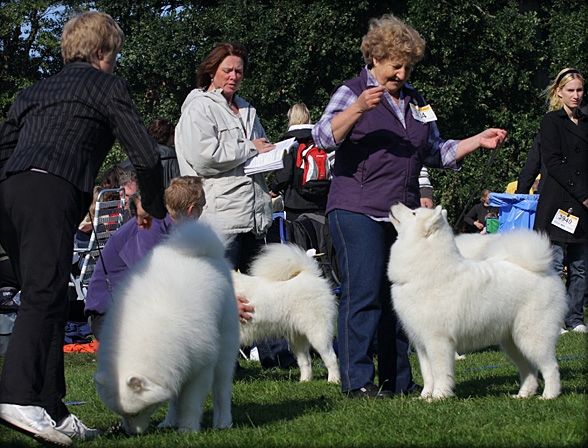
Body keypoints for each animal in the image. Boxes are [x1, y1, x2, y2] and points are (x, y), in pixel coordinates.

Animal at [94, 220, 239, 434]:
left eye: (135, 413)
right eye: (121, 414)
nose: (131, 433)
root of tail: (207, 252)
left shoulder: (200, 370)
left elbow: (189, 403)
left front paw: (188, 429)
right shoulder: (176, 365)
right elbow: (174, 398)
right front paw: (175, 422)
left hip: (225, 348)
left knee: (222, 388)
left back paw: (223, 422)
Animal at [231, 243, 338, 384]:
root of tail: (309, 274)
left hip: (318, 333)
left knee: (331, 357)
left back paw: (333, 381)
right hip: (298, 337)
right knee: (305, 361)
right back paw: (304, 381)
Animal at [388, 203, 568, 400]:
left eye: (413, 213)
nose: (396, 203)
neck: (428, 271)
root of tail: (546, 271)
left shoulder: (437, 341)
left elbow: (440, 372)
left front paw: (439, 396)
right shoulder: (421, 343)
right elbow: (427, 373)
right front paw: (424, 397)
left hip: (532, 337)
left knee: (551, 367)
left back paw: (549, 395)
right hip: (513, 342)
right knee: (529, 370)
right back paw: (523, 395)